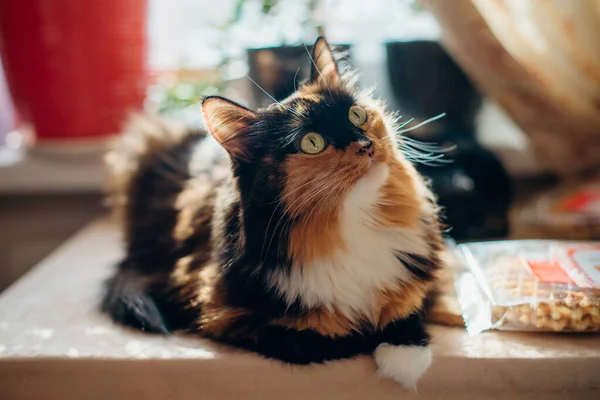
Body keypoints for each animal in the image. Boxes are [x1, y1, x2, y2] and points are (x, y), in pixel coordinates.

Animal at [104, 36, 446, 388]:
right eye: (312, 142)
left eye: (356, 115)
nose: (366, 144)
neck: (348, 223)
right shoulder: (219, 312)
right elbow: (335, 335)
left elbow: (410, 306)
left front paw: (404, 354)